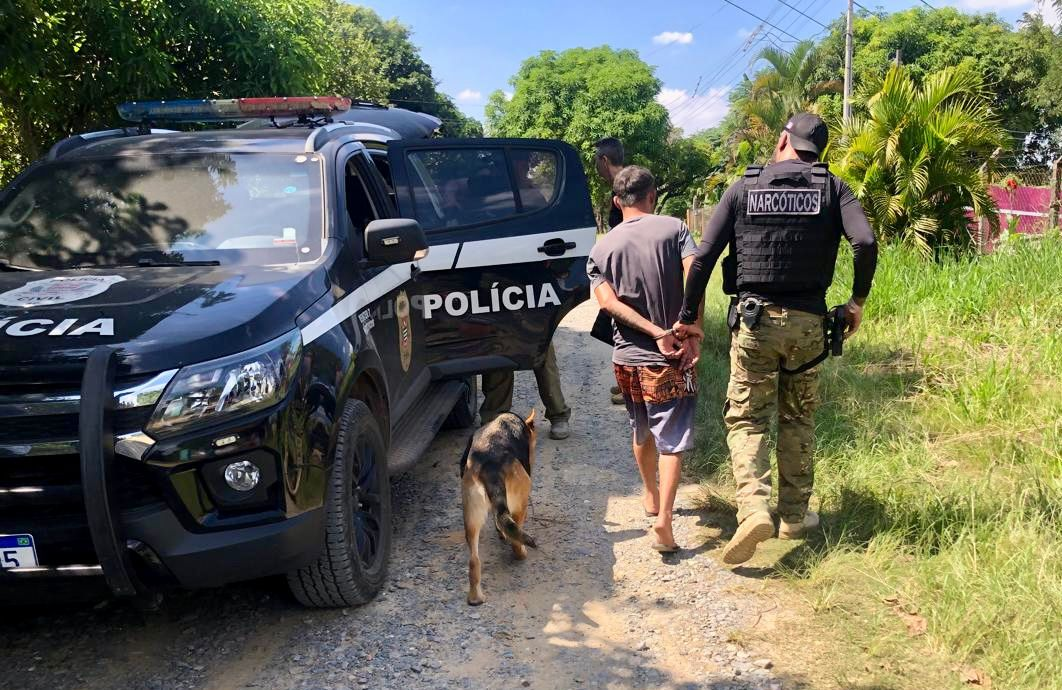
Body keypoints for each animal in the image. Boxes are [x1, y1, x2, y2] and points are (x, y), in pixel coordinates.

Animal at [458, 407, 535, 602]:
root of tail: (490, 466)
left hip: (471, 516)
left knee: (474, 561)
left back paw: (475, 598)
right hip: (520, 503)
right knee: (516, 539)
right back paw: (521, 554)